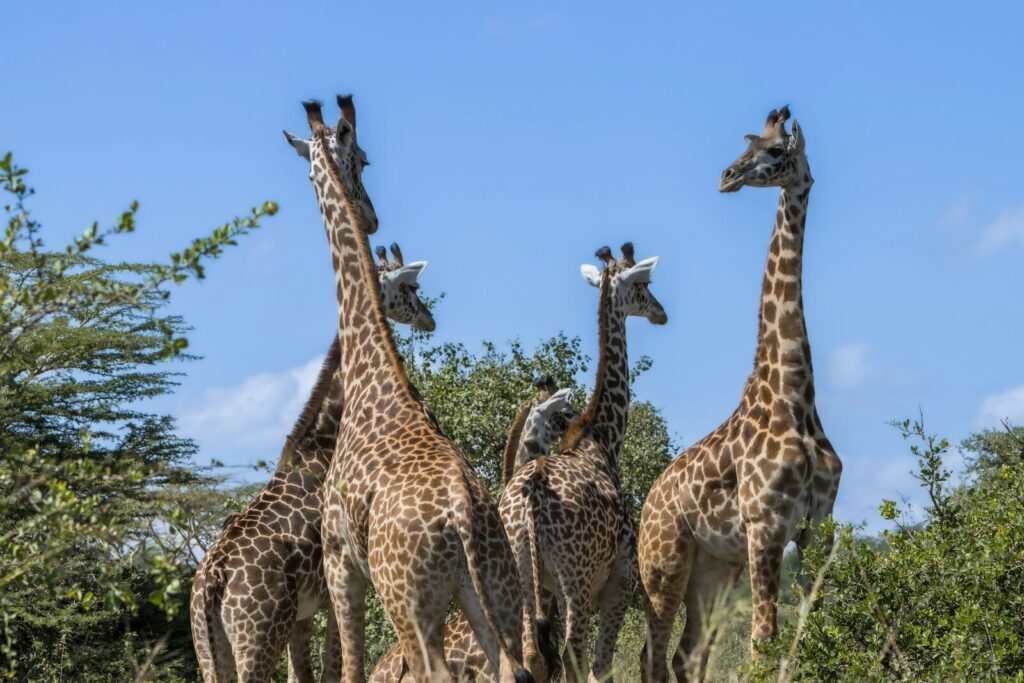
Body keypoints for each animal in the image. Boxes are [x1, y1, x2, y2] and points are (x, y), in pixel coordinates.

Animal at [189, 243, 435, 683]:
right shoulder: (335, 585)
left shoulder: (304, 613)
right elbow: (334, 665)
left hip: (210, 648)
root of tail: (211, 584)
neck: (324, 436)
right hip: (258, 636)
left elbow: (303, 672)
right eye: (412, 288)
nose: (429, 318)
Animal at [288, 96, 536, 683]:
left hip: (408, 600)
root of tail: (463, 517)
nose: (372, 216)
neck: (371, 371)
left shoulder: (341, 562)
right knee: (514, 667)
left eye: (362, 160)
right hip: (493, 588)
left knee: (431, 672)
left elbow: (349, 668)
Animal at [502, 244, 667, 682]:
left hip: (519, 573)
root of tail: (529, 500)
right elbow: (600, 666)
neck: (602, 440)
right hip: (574, 580)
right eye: (644, 284)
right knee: (570, 655)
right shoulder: (620, 582)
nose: (661, 312)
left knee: (525, 657)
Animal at [637, 106, 843, 682]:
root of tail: (646, 503)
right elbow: (763, 644)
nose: (727, 177)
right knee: (651, 653)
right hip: (664, 563)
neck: (795, 396)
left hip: (714, 568)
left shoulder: (816, 527)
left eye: (774, 151)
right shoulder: (765, 525)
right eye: (746, 147)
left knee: (687, 654)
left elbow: (808, 637)